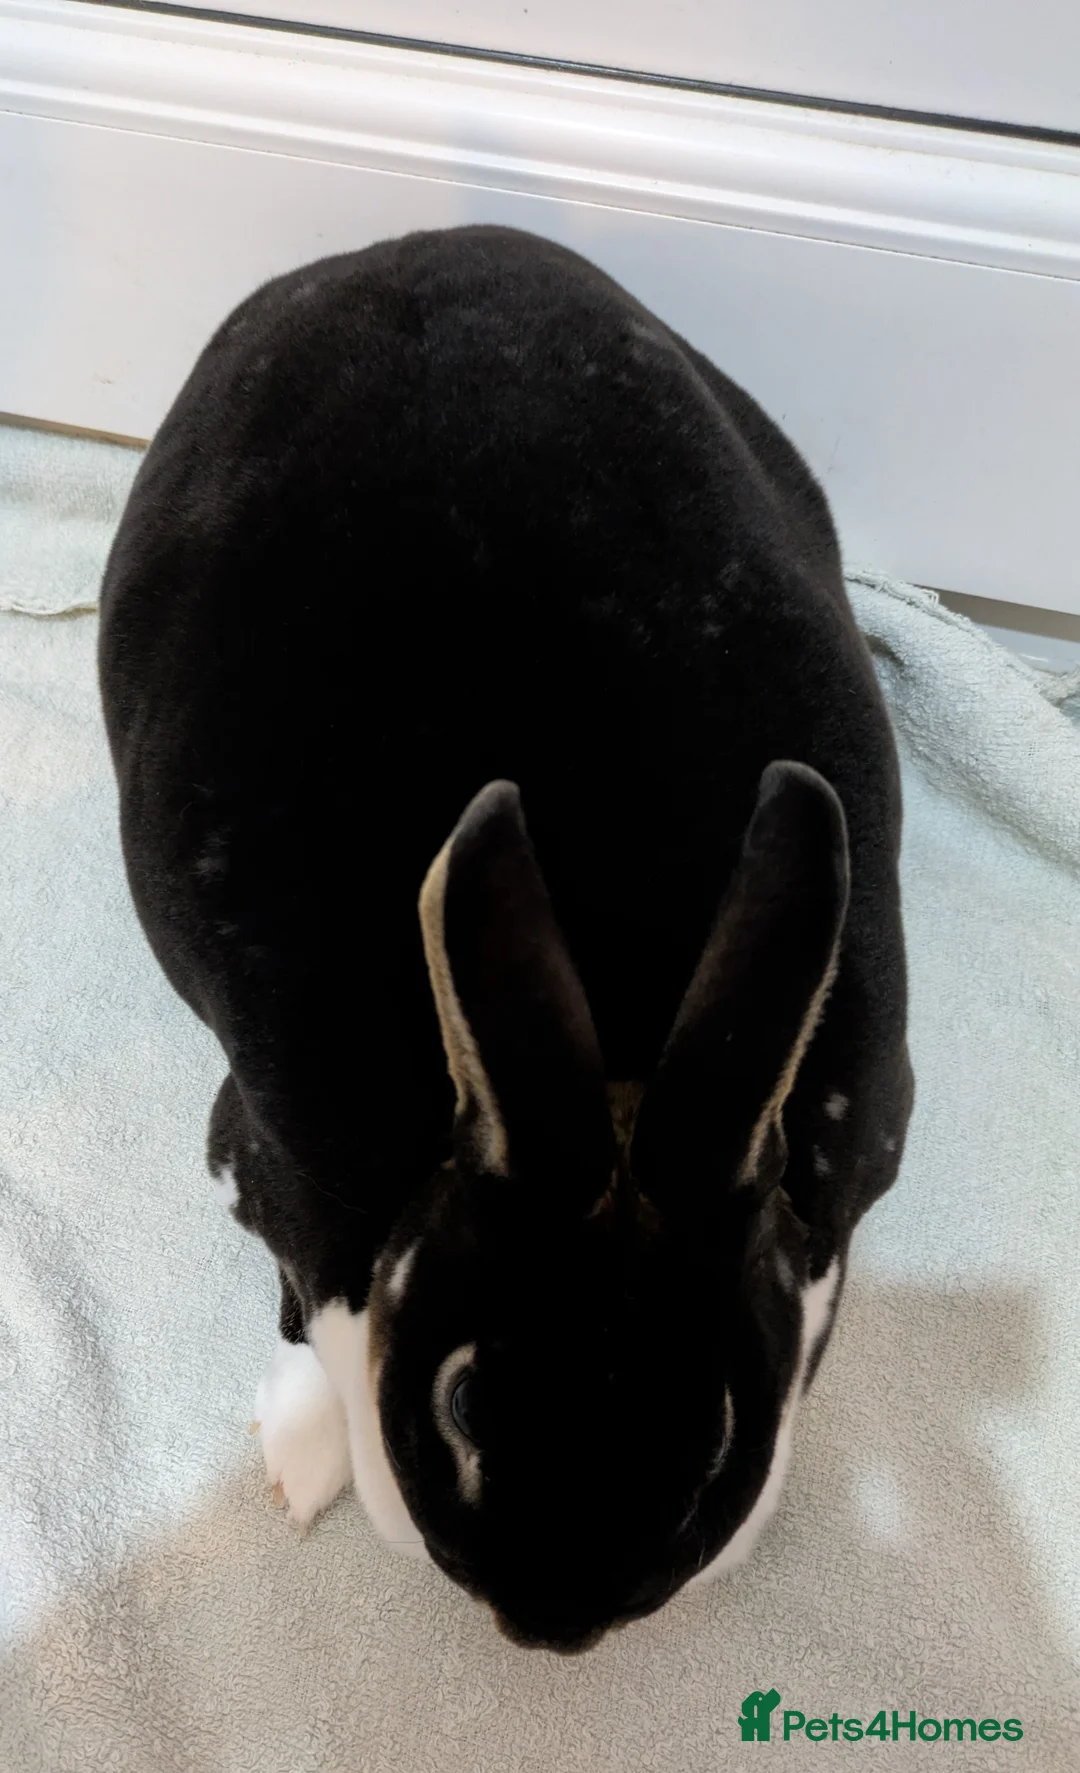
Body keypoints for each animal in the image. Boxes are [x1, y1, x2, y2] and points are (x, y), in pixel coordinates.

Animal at [99, 223, 912, 1653]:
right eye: (469, 1402)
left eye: (712, 1437)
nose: (556, 1628)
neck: (621, 1053)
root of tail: (404, 249)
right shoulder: (272, 1160)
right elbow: (302, 1303)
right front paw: (300, 1460)